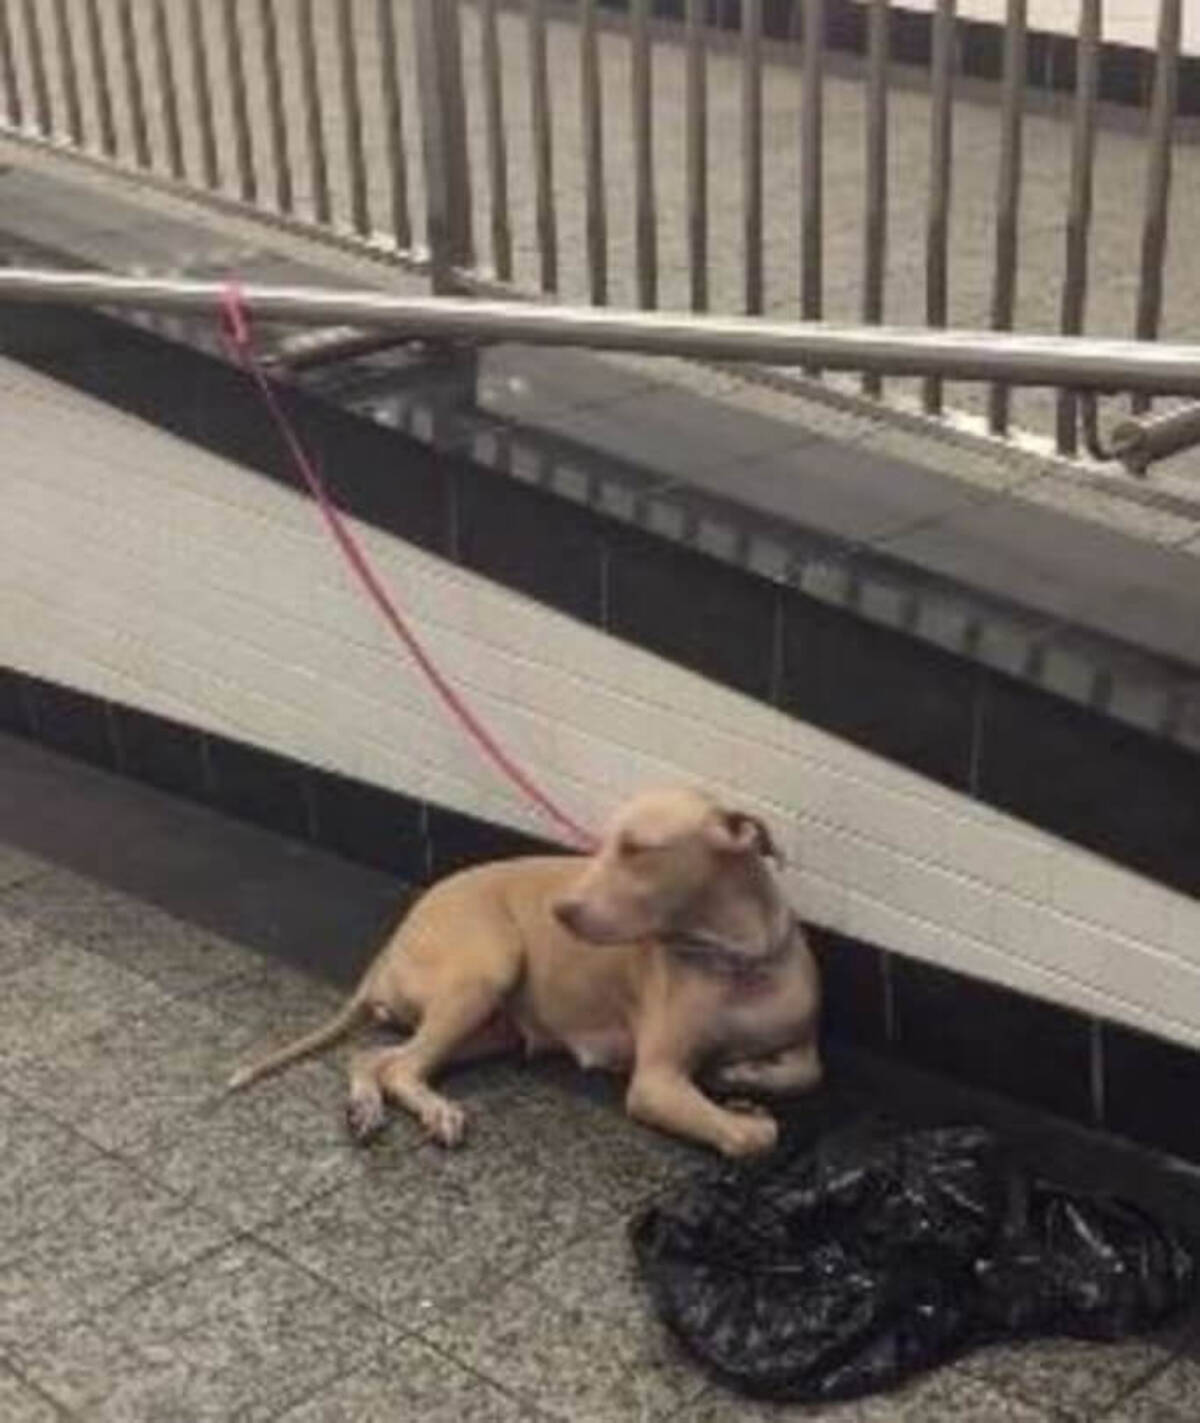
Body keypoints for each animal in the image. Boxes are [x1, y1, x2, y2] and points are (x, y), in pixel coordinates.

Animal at [228, 786, 821, 1157]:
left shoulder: (800, 1037)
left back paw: (367, 1105)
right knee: (401, 1065)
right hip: (484, 972)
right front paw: (743, 1112)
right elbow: (753, 1138)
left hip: (492, 1028)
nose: (561, 910)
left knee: (376, 1057)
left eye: (636, 849)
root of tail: (394, 939)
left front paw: (740, 1079)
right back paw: (434, 1112)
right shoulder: (654, 1083)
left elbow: (806, 1070)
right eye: (606, 844)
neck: (737, 960)